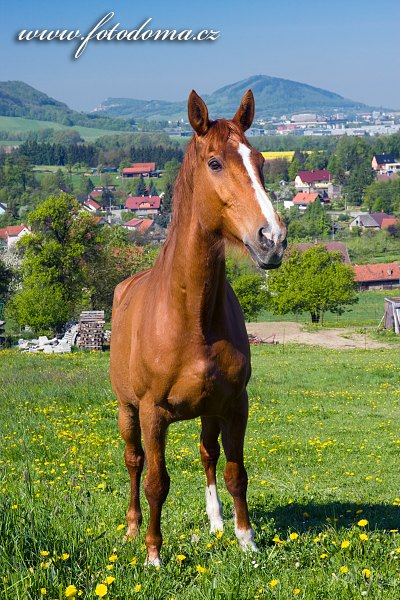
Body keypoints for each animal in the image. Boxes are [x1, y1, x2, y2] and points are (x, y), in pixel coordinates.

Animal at [108, 86, 286, 564]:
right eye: (215, 163)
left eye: (260, 161)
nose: (273, 240)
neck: (191, 317)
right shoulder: (152, 412)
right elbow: (157, 482)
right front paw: (153, 554)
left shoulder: (235, 404)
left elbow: (235, 471)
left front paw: (246, 540)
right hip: (127, 410)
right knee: (134, 463)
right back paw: (132, 529)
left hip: (208, 410)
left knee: (207, 455)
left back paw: (216, 523)